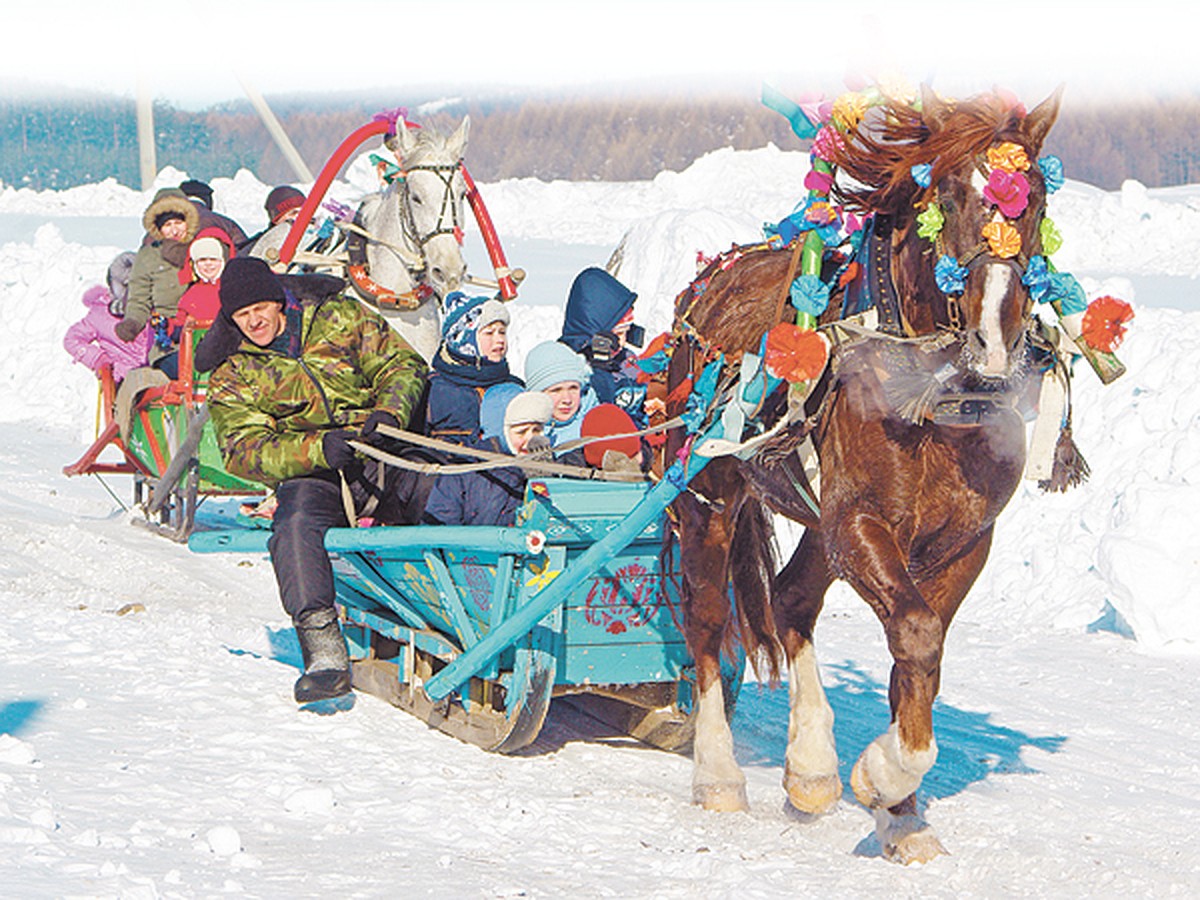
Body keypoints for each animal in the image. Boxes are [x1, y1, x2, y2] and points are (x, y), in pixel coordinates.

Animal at [672, 86, 1065, 868]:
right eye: (947, 193)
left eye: (1033, 197)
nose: (995, 342)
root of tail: (714, 278)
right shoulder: (859, 521)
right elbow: (915, 633)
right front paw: (882, 777)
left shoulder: (961, 540)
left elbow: (920, 662)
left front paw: (903, 815)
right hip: (713, 496)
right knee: (707, 620)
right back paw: (721, 775)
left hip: (820, 521)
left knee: (791, 599)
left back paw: (810, 769)